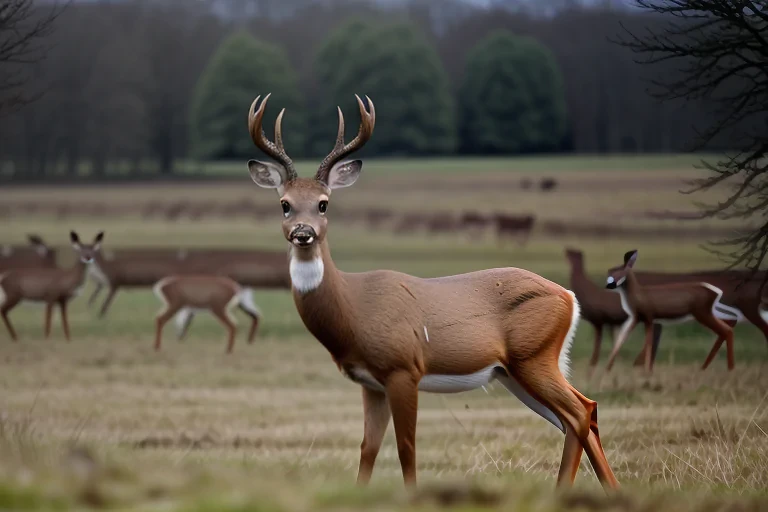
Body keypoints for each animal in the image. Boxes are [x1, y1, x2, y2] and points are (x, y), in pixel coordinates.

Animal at [244, 93, 619, 491]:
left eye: (323, 203)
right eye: (284, 204)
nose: (303, 233)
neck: (354, 305)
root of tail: (568, 296)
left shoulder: (404, 368)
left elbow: (406, 445)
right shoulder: (371, 382)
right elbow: (368, 447)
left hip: (533, 356)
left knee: (579, 412)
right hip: (516, 370)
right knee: (581, 414)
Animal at [604, 250, 741, 373]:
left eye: (621, 272)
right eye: (609, 272)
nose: (609, 285)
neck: (638, 295)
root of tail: (716, 291)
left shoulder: (648, 317)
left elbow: (648, 342)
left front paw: (647, 371)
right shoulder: (635, 318)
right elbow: (621, 339)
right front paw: (608, 369)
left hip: (702, 313)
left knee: (726, 330)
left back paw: (729, 369)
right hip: (710, 312)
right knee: (731, 322)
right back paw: (706, 368)